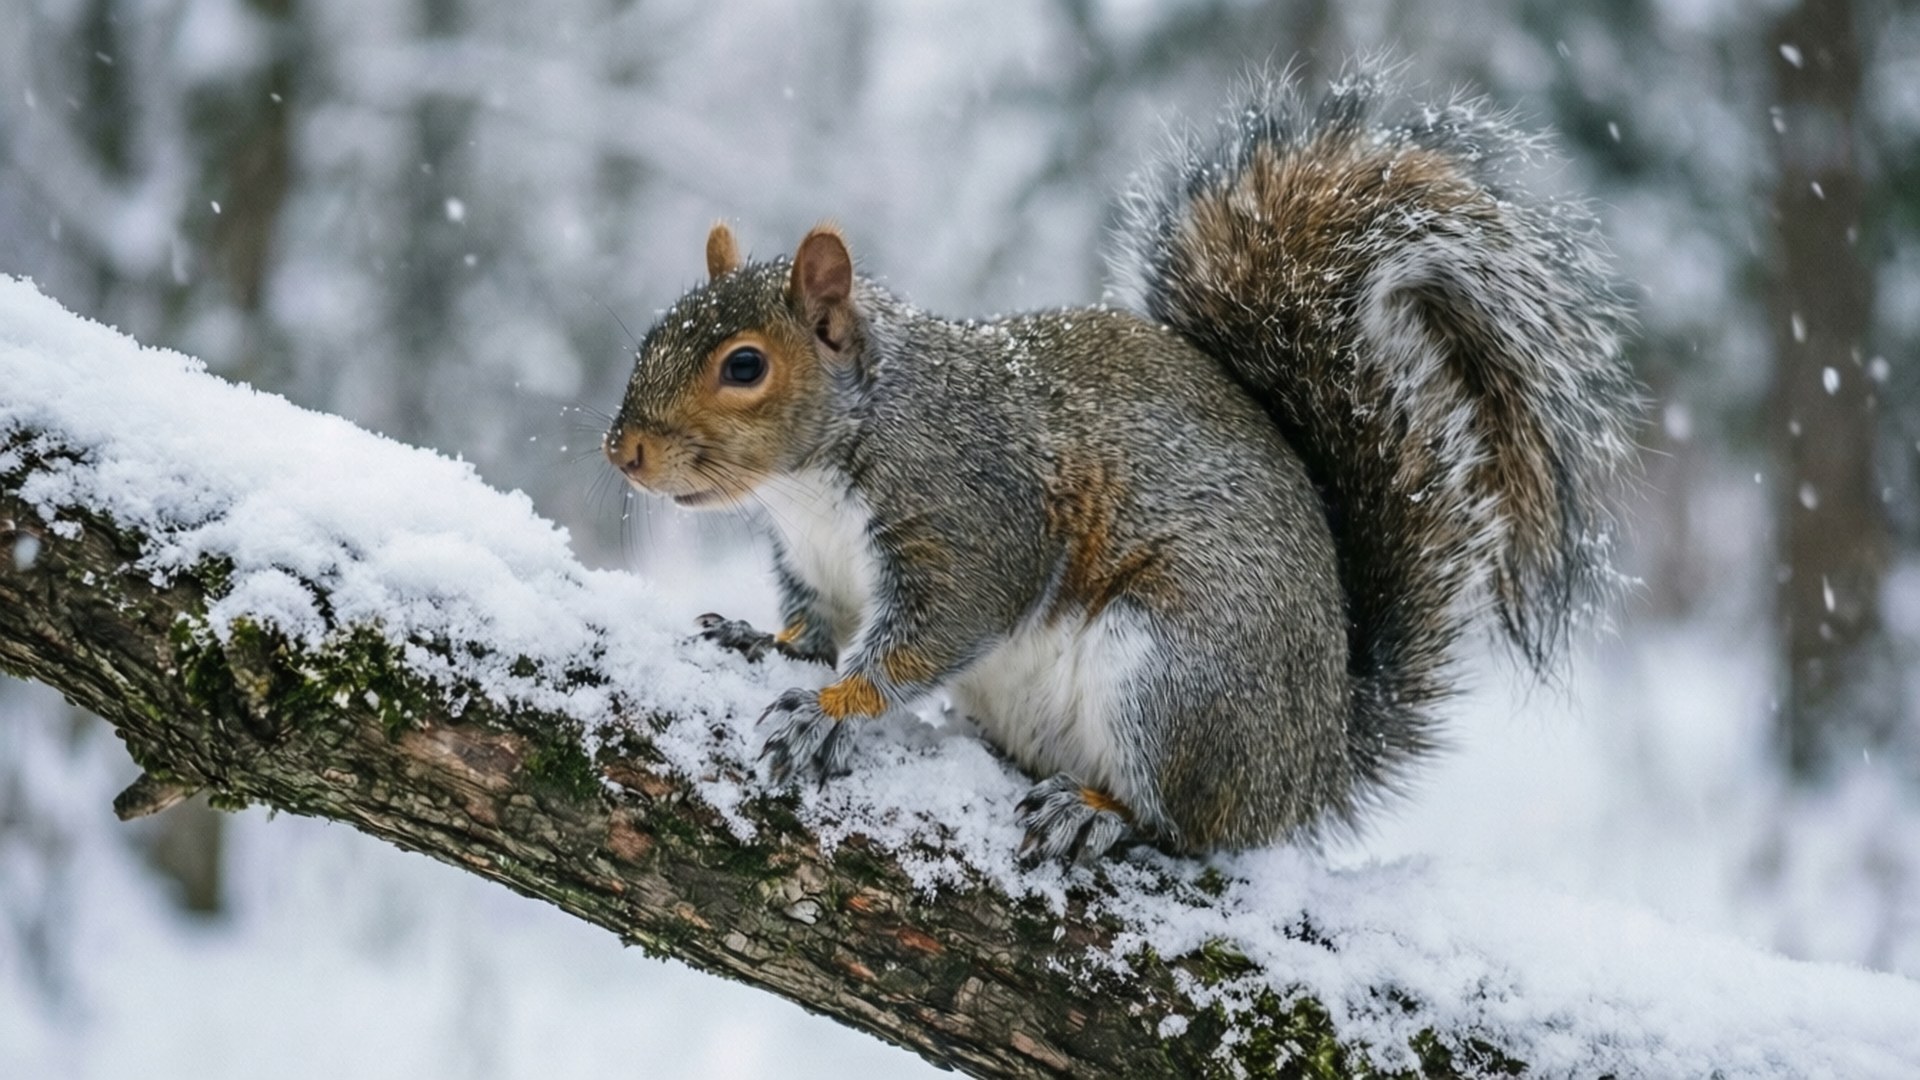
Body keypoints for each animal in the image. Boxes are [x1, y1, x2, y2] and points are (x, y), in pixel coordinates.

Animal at [604, 69, 1638, 863]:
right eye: (654, 329)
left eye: (745, 366)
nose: (625, 451)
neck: (811, 484)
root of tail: (1311, 768)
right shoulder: (812, 564)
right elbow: (815, 627)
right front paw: (765, 642)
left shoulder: (972, 519)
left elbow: (930, 633)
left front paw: (833, 707)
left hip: (1175, 674)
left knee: (1183, 822)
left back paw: (1095, 812)